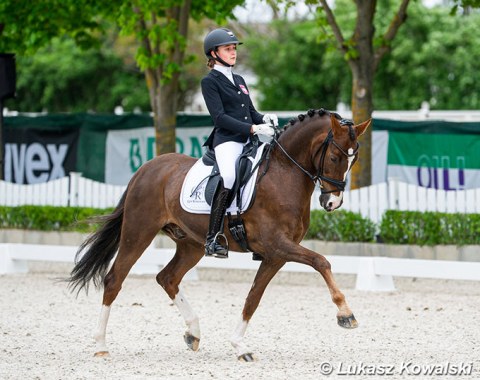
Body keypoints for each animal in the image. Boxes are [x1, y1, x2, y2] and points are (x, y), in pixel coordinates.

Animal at [67, 109, 370, 362]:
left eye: (353, 160)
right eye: (335, 157)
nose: (332, 203)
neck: (284, 173)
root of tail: (145, 169)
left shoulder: (276, 254)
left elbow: (253, 298)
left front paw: (239, 346)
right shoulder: (278, 245)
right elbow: (321, 261)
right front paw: (346, 314)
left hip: (191, 244)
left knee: (167, 278)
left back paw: (193, 333)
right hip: (138, 232)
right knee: (114, 279)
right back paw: (101, 346)